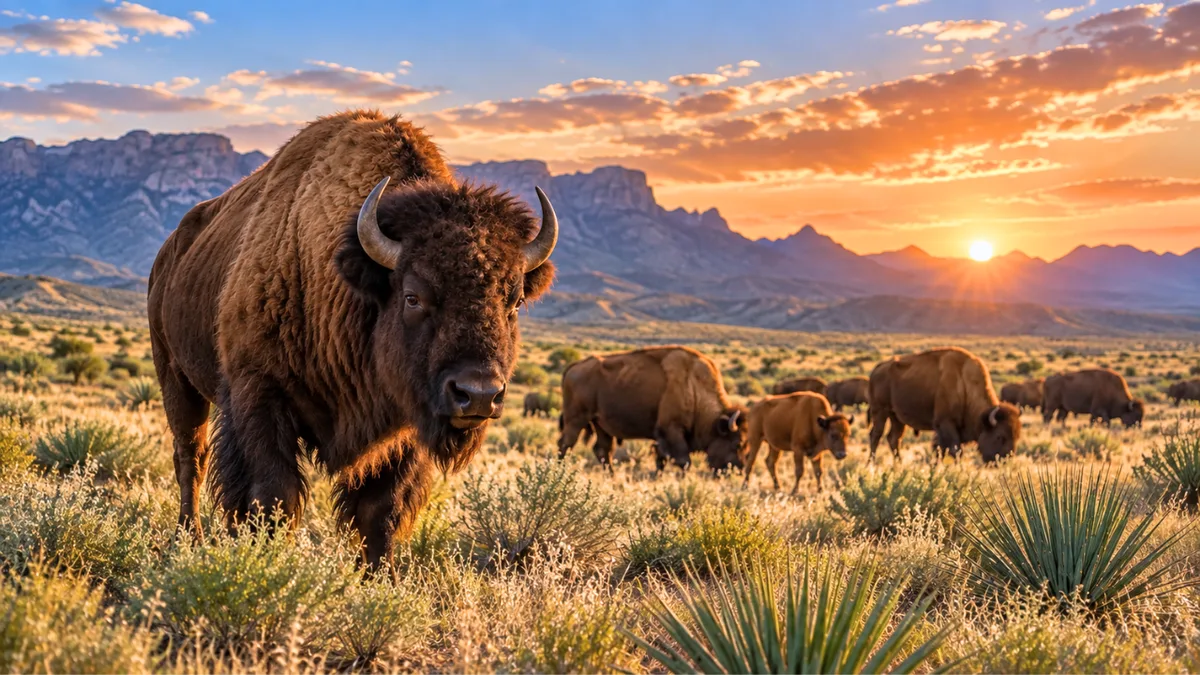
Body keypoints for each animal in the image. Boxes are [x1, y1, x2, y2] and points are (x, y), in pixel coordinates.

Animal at [148, 110, 558, 569]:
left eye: (515, 301)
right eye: (413, 296)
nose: (479, 395)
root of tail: (168, 252)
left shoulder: (404, 427)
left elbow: (380, 512)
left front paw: (381, 579)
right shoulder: (257, 396)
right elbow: (273, 497)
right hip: (175, 377)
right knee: (190, 458)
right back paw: (188, 538)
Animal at [557, 346, 747, 473]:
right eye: (737, 443)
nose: (738, 469)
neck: (694, 386)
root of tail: (573, 367)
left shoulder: (662, 438)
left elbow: (661, 460)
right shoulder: (671, 430)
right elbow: (683, 461)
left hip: (601, 425)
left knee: (603, 450)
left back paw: (612, 477)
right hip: (576, 420)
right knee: (565, 444)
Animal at [867, 347, 1021, 463]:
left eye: (1016, 437)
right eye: (999, 436)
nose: (1004, 460)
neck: (964, 383)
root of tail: (876, 370)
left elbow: (939, 450)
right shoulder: (946, 423)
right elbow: (955, 450)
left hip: (897, 417)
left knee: (894, 438)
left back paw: (899, 465)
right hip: (880, 411)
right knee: (876, 435)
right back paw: (871, 464)